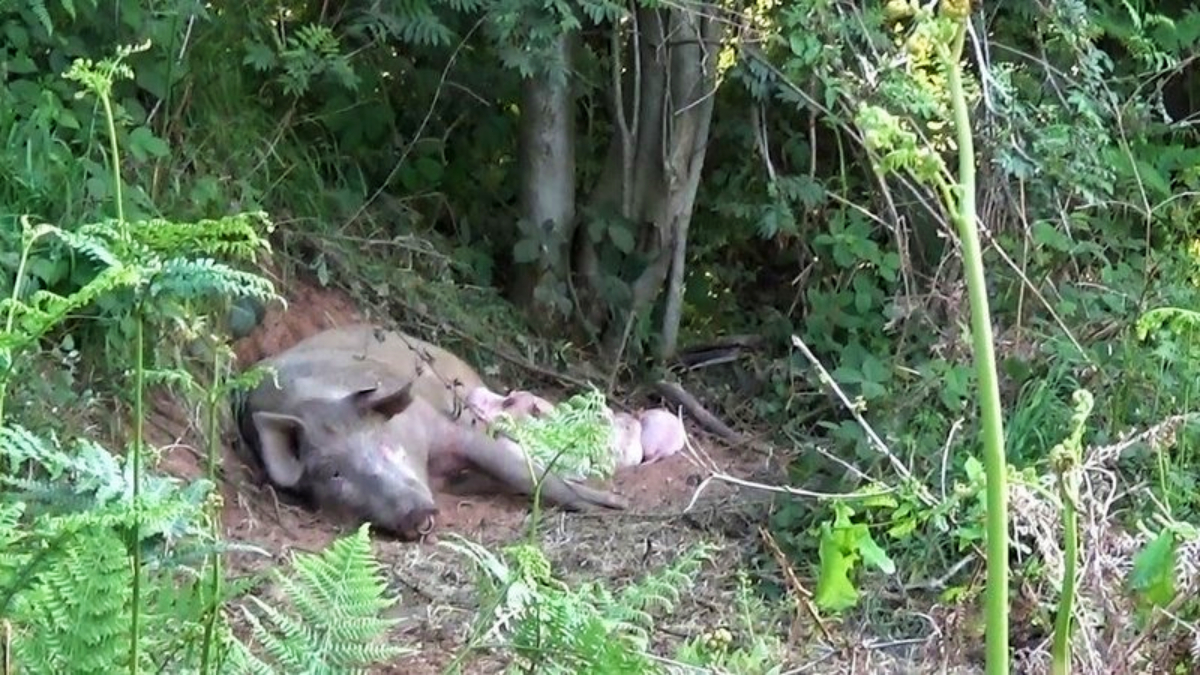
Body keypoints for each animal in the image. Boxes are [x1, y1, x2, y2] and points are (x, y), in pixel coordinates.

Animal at [234, 324, 628, 538]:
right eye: (334, 473)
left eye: (383, 441)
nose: (413, 512)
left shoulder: (441, 424)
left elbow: (517, 469)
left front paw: (613, 504)